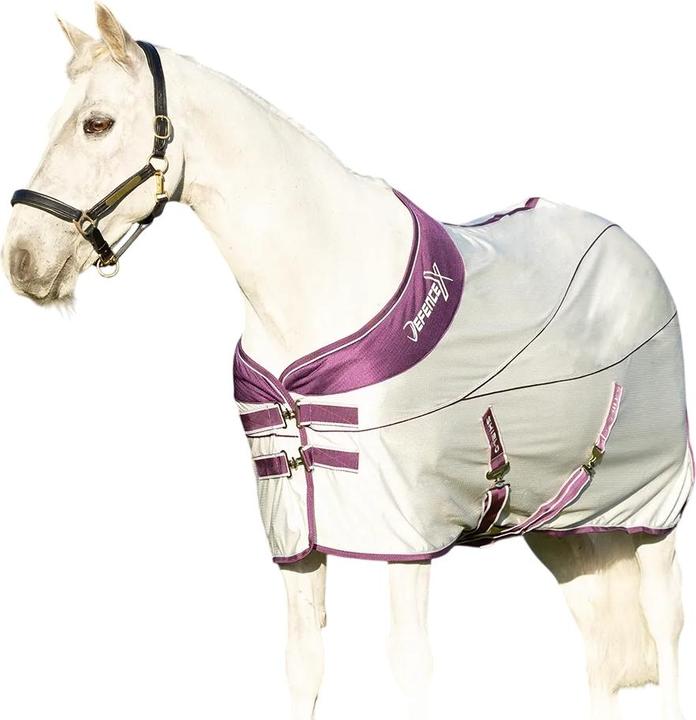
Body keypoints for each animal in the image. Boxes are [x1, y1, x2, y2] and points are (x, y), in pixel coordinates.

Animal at [2, 6, 692, 720]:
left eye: (97, 123)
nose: (24, 260)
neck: (323, 280)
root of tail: (635, 252)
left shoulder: (407, 530)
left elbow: (410, 668)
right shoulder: (296, 532)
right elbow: (303, 664)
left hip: (655, 508)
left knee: (664, 624)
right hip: (562, 525)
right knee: (599, 647)